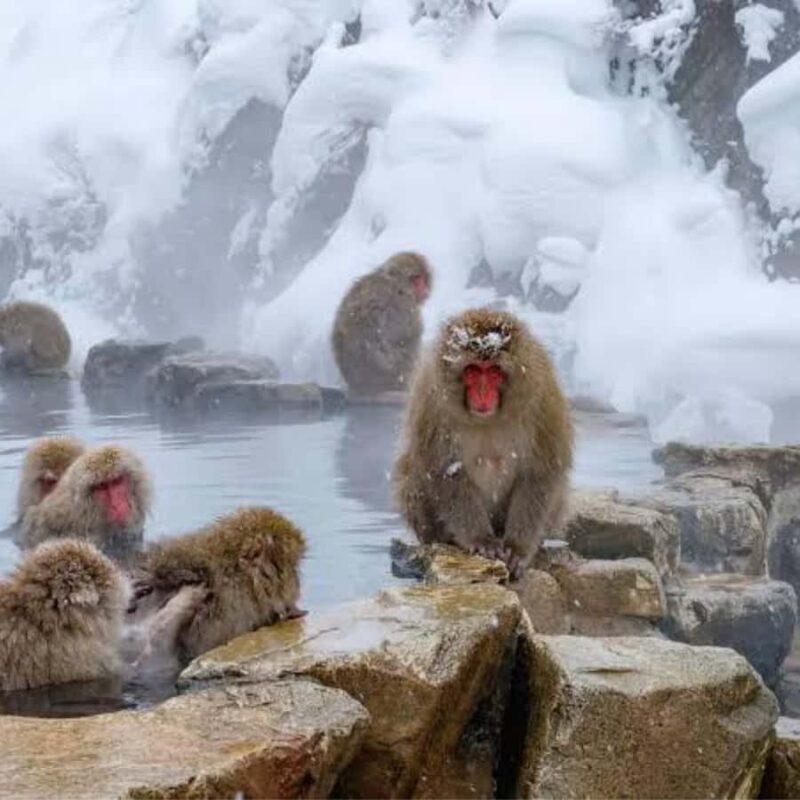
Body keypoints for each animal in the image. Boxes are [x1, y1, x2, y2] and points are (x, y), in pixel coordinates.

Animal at [332, 251, 432, 395]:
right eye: (415, 279)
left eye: (424, 278)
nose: (425, 289)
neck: (394, 281)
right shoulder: (405, 305)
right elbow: (405, 334)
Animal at [393, 308, 573, 579]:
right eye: (473, 371)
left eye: (494, 372)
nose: (482, 393)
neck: (491, 418)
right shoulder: (431, 402)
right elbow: (444, 472)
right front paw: (482, 540)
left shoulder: (543, 398)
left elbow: (540, 473)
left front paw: (517, 548)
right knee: (412, 471)